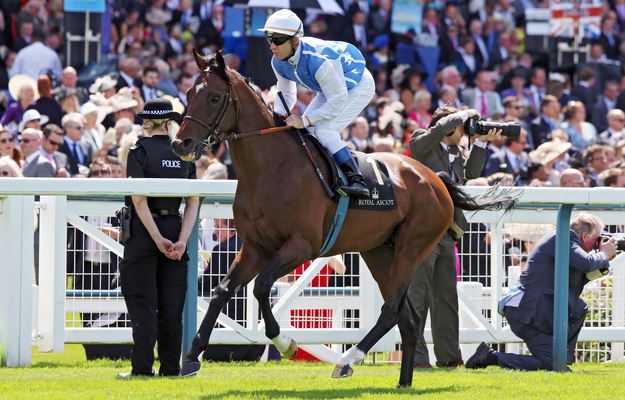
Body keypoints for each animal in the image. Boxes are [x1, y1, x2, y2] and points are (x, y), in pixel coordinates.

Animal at [171, 50, 512, 388]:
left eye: (215, 97)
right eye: (188, 94)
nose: (180, 144)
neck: (271, 168)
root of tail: (436, 179)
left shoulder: (302, 245)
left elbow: (261, 286)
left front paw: (287, 343)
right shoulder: (256, 246)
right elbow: (222, 291)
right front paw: (191, 356)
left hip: (412, 246)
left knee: (391, 310)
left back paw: (349, 359)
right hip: (379, 251)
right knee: (408, 317)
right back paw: (403, 381)